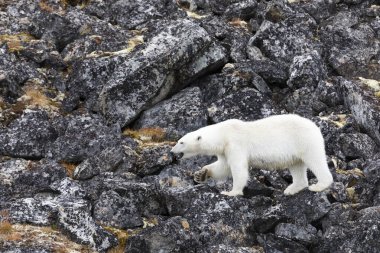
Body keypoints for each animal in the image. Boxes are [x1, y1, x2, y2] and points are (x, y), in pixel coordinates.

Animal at [170, 114, 332, 196]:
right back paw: (291, 189)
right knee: (296, 165)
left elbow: (238, 169)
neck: (223, 134)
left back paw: (318, 186)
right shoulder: (225, 150)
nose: (171, 151)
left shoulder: (235, 144)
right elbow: (222, 167)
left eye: (181, 142)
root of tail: (315, 126)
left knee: (315, 160)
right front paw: (201, 174)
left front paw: (231, 192)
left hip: (305, 140)